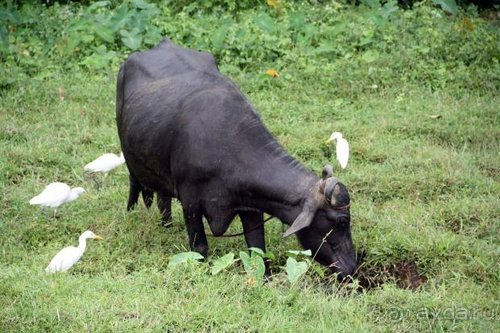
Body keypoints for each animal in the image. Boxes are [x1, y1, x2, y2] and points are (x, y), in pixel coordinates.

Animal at [115, 38, 358, 278]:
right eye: (342, 221)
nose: (350, 268)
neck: (226, 149)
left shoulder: (251, 206)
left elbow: (258, 248)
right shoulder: (190, 202)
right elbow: (199, 248)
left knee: (162, 198)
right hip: (129, 158)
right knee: (134, 186)